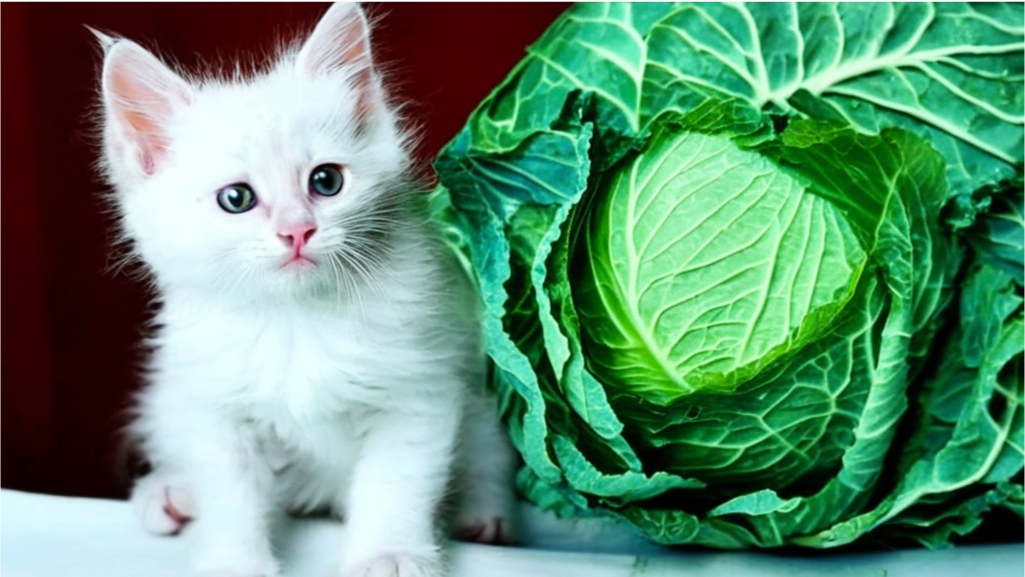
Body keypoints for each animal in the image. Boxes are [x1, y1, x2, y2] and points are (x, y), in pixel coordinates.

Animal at [94, 2, 516, 576]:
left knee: (488, 451)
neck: (296, 319)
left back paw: (484, 515)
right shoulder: (216, 404)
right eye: (236, 198)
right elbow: (230, 493)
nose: (297, 230)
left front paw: (389, 553)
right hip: (168, 391)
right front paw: (234, 561)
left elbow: (396, 483)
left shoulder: (419, 389)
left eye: (326, 182)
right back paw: (170, 493)